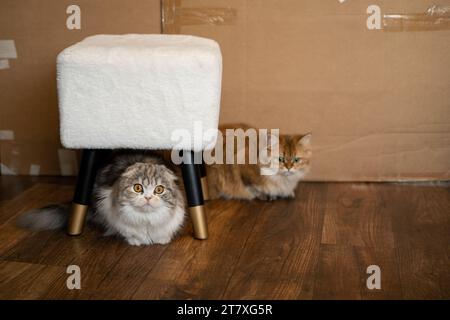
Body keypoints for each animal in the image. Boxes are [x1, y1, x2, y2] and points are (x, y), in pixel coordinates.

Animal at [17, 152, 186, 245]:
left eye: (159, 190)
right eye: (138, 188)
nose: (148, 197)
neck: (146, 219)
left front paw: (162, 240)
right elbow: (130, 233)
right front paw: (136, 241)